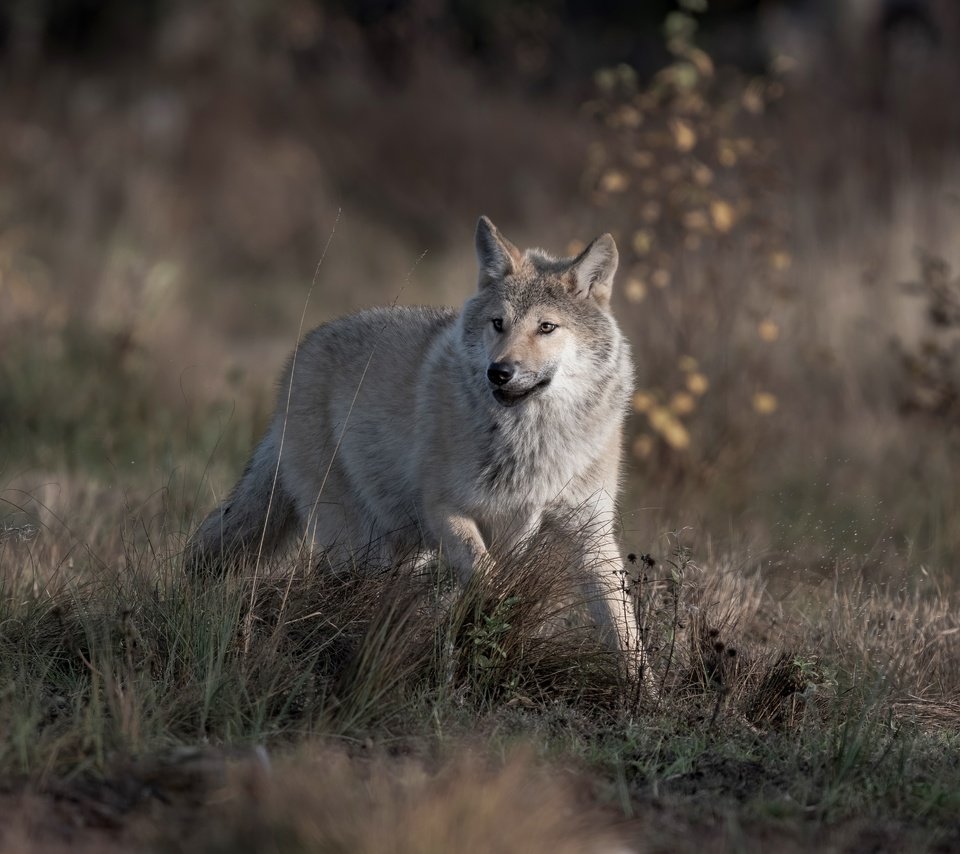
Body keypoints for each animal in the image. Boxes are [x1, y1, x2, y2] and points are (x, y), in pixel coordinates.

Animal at [189, 217, 644, 680]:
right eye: (498, 323)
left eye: (546, 327)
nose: (498, 372)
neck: (533, 440)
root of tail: (297, 358)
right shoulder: (445, 510)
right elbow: (489, 578)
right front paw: (488, 631)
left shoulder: (591, 534)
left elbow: (626, 631)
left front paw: (643, 691)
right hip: (362, 546)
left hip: (404, 550)